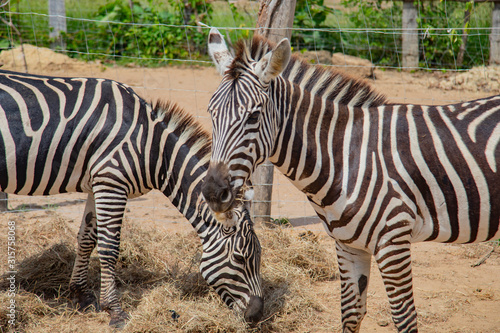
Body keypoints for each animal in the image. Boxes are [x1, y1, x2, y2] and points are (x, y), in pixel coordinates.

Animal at [0, 69, 264, 326]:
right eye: (241, 258)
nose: (257, 315)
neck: (153, 149)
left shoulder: (96, 182)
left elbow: (86, 239)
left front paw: (81, 295)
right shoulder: (111, 181)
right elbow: (109, 247)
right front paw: (114, 311)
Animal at [200, 29, 500, 332]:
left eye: (253, 116)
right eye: (211, 113)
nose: (212, 192)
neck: (345, 158)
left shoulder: (393, 241)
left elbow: (404, 318)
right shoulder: (348, 245)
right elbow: (351, 313)